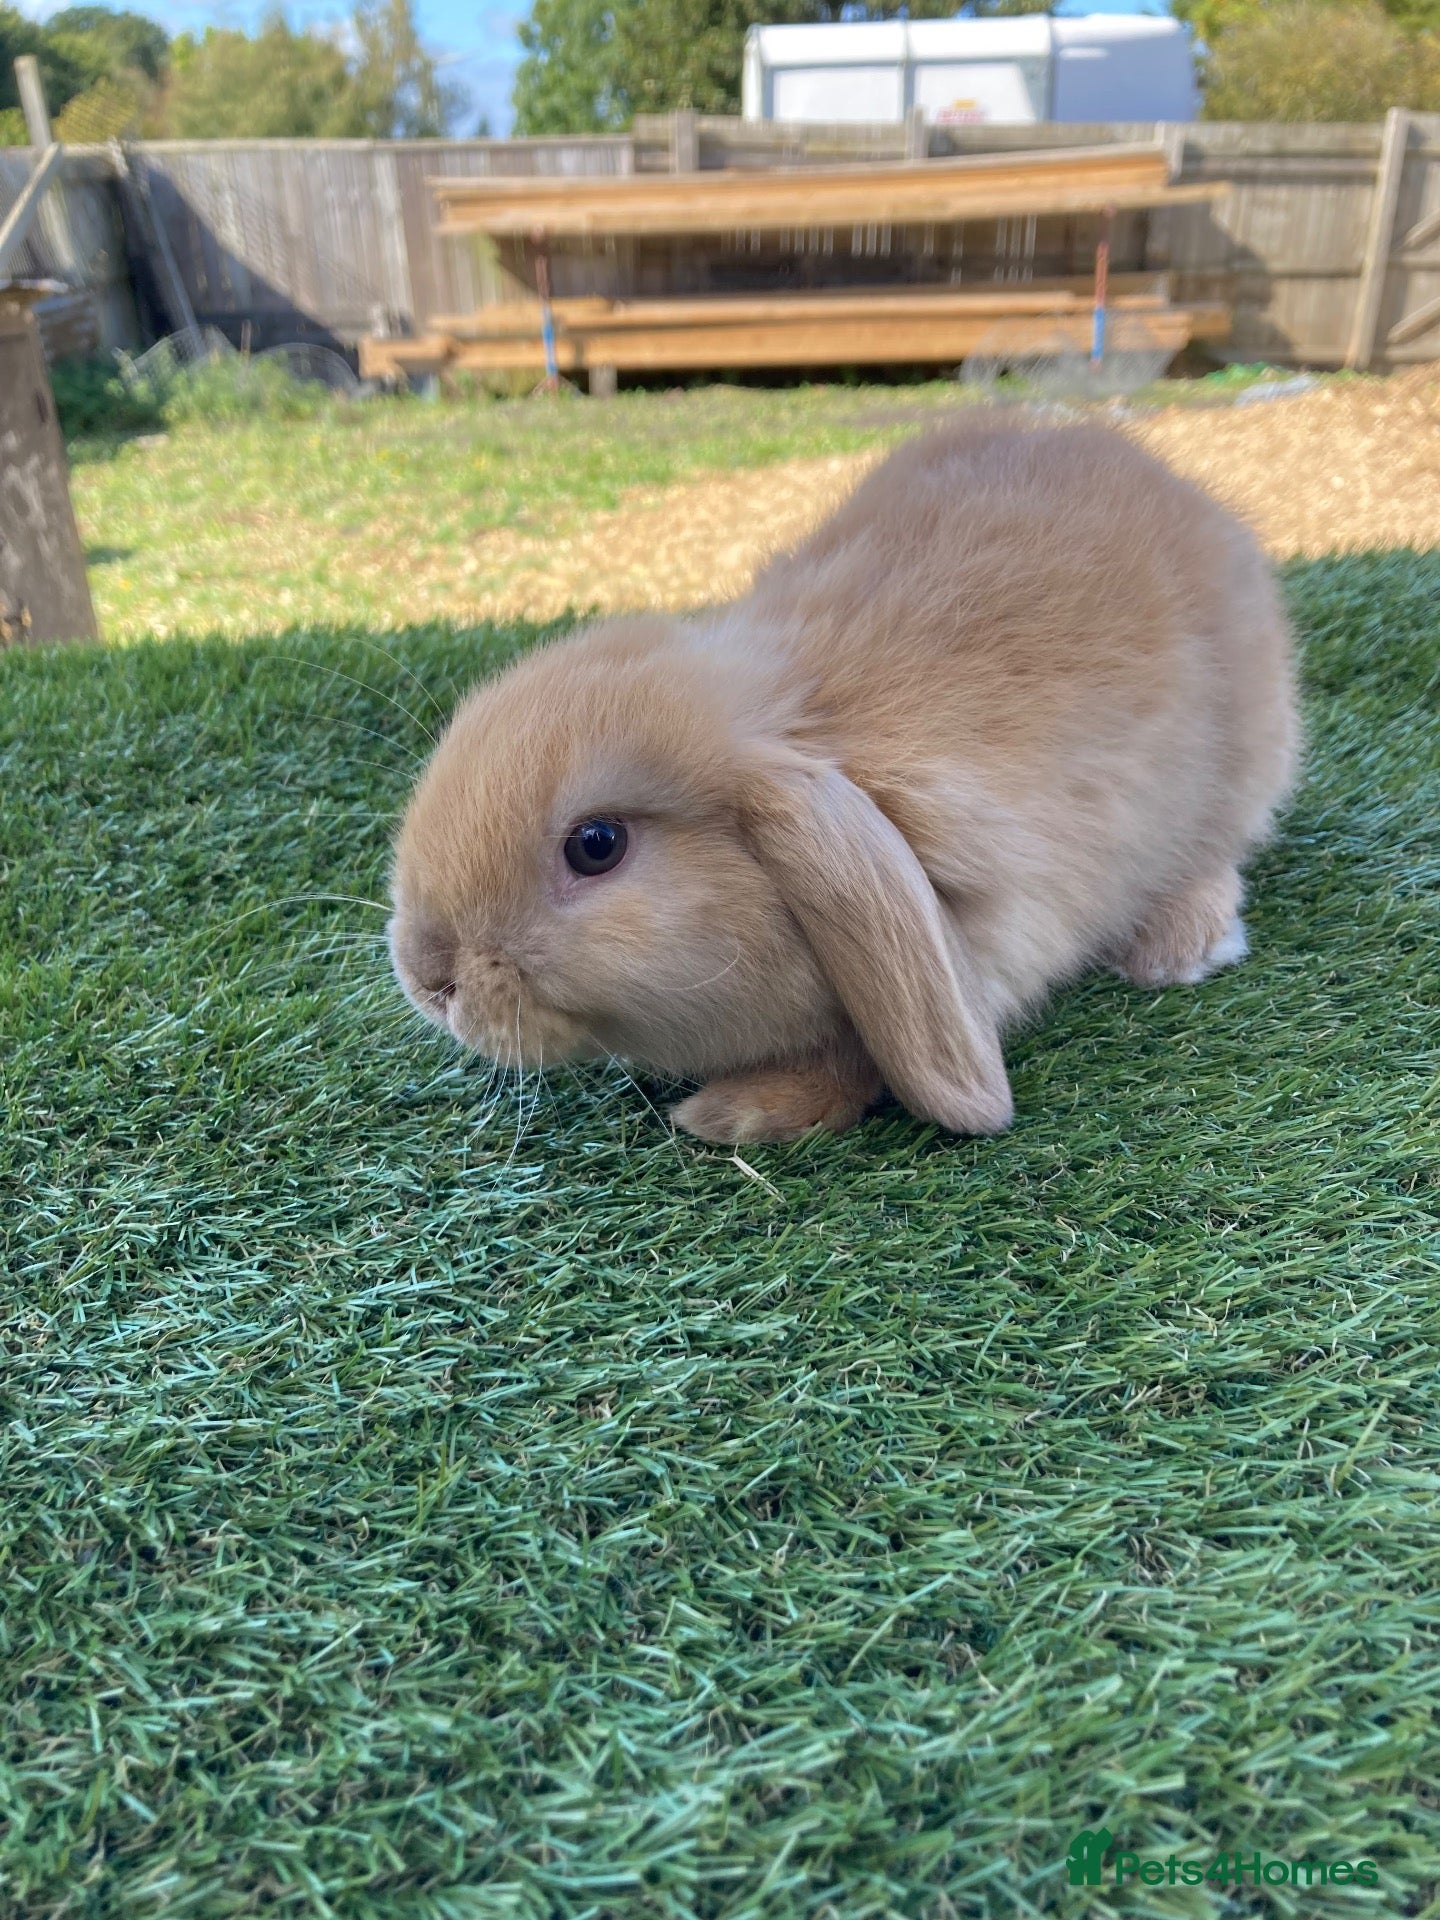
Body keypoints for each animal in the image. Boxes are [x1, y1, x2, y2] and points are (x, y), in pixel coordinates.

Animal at [388, 418, 1299, 1144]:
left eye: (597, 845)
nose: (429, 979)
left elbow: (856, 1057)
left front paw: (737, 1115)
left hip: (1244, 763)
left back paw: (1178, 947)